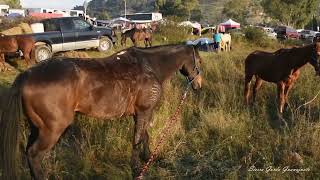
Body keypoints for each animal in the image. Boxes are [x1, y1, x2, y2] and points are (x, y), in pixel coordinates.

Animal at [0, 44, 202, 179]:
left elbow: (144, 136)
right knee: (34, 155)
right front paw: (136, 169)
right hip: (53, 129)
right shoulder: (144, 111)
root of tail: (27, 74)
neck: (150, 66)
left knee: (29, 153)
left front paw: (148, 157)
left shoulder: (141, 113)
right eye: (198, 61)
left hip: (37, 127)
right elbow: (137, 139)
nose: (199, 86)